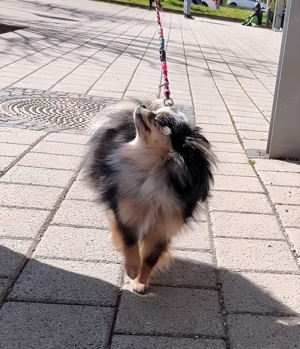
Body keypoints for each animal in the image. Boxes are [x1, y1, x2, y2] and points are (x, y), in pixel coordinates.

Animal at [84, 98, 216, 294]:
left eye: (160, 120)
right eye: (157, 114)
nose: (143, 107)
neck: (153, 168)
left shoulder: (163, 226)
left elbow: (149, 258)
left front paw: (140, 282)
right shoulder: (126, 213)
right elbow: (130, 242)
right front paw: (132, 268)